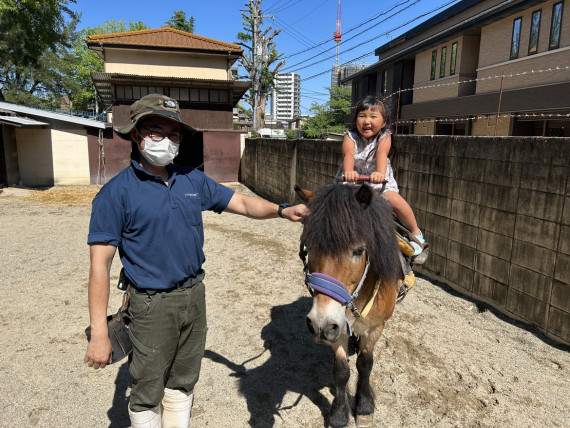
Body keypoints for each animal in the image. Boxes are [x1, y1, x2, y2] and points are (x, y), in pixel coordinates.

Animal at [296, 182, 402, 428]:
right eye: (308, 247)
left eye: (359, 250)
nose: (319, 324)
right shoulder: (337, 329)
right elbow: (342, 371)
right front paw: (339, 414)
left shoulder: (375, 327)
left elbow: (365, 364)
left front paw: (363, 407)